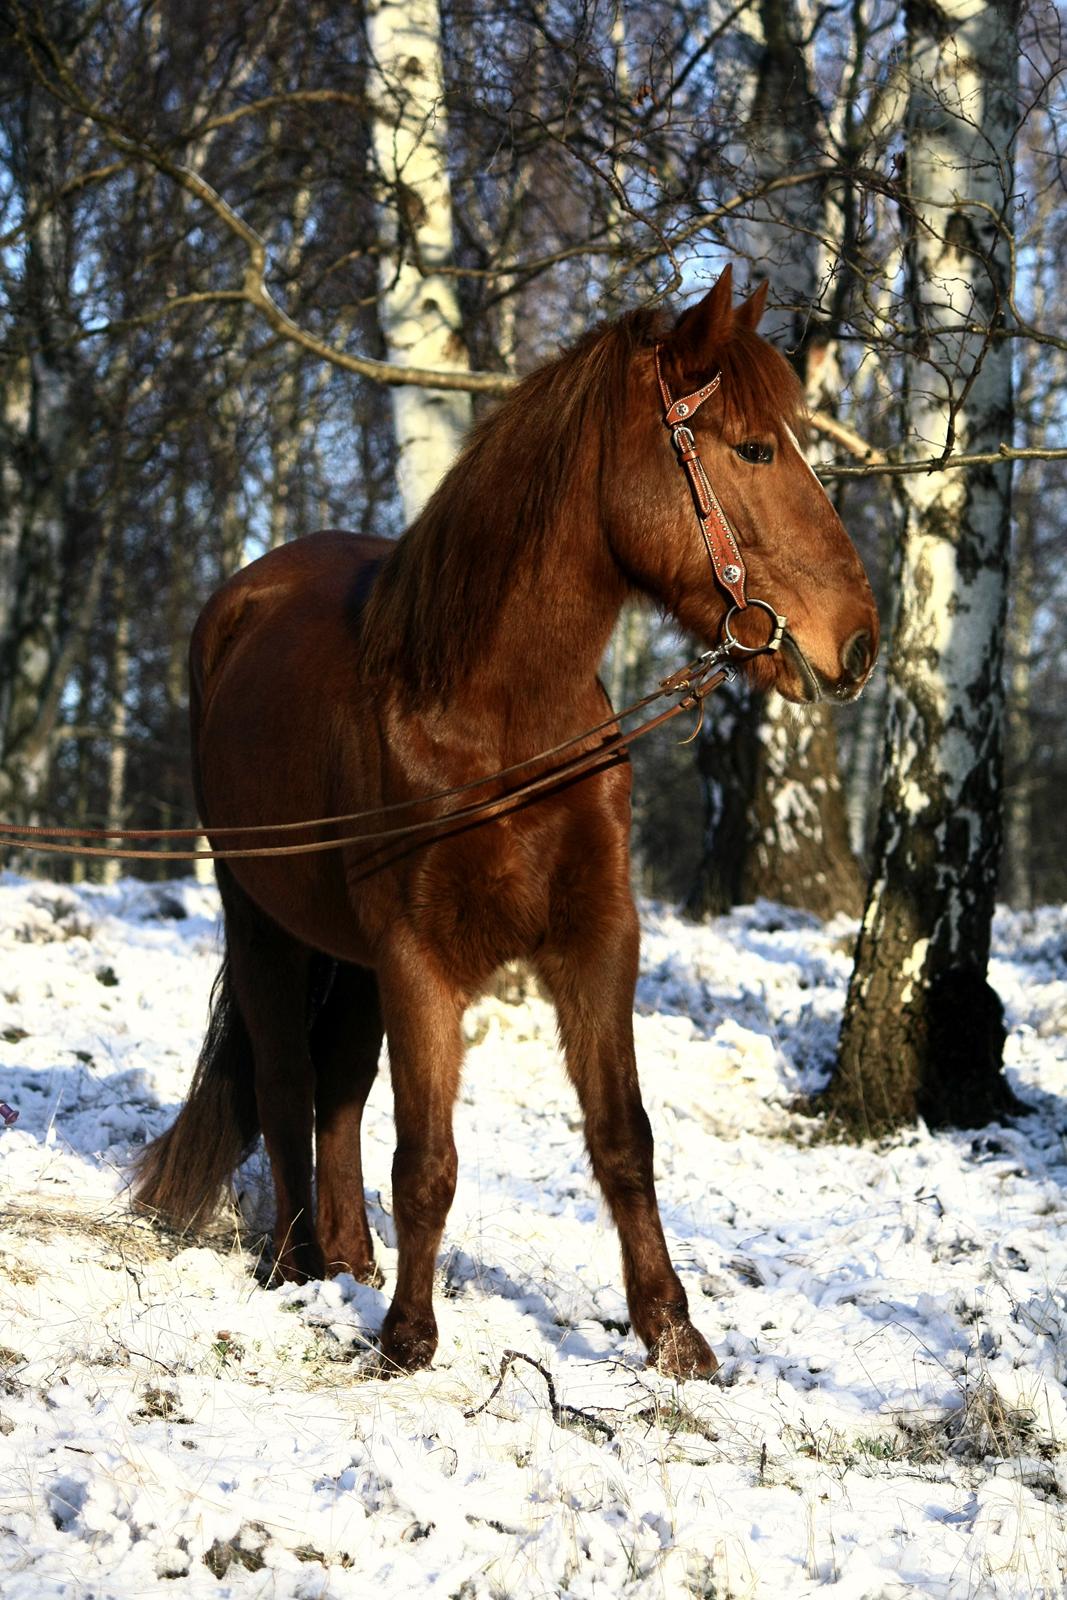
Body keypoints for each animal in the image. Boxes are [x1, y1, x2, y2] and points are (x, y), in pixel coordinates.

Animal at [135, 272, 876, 1376]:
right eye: (752, 448)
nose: (857, 643)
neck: (494, 721)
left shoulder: (597, 938)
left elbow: (621, 1137)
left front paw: (673, 1334)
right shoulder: (417, 955)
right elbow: (426, 1156)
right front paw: (406, 1338)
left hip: (346, 951)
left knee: (338, 1082)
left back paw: (349, 1255)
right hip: (263, 918)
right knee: (283, 1072)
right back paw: (296, 1263)